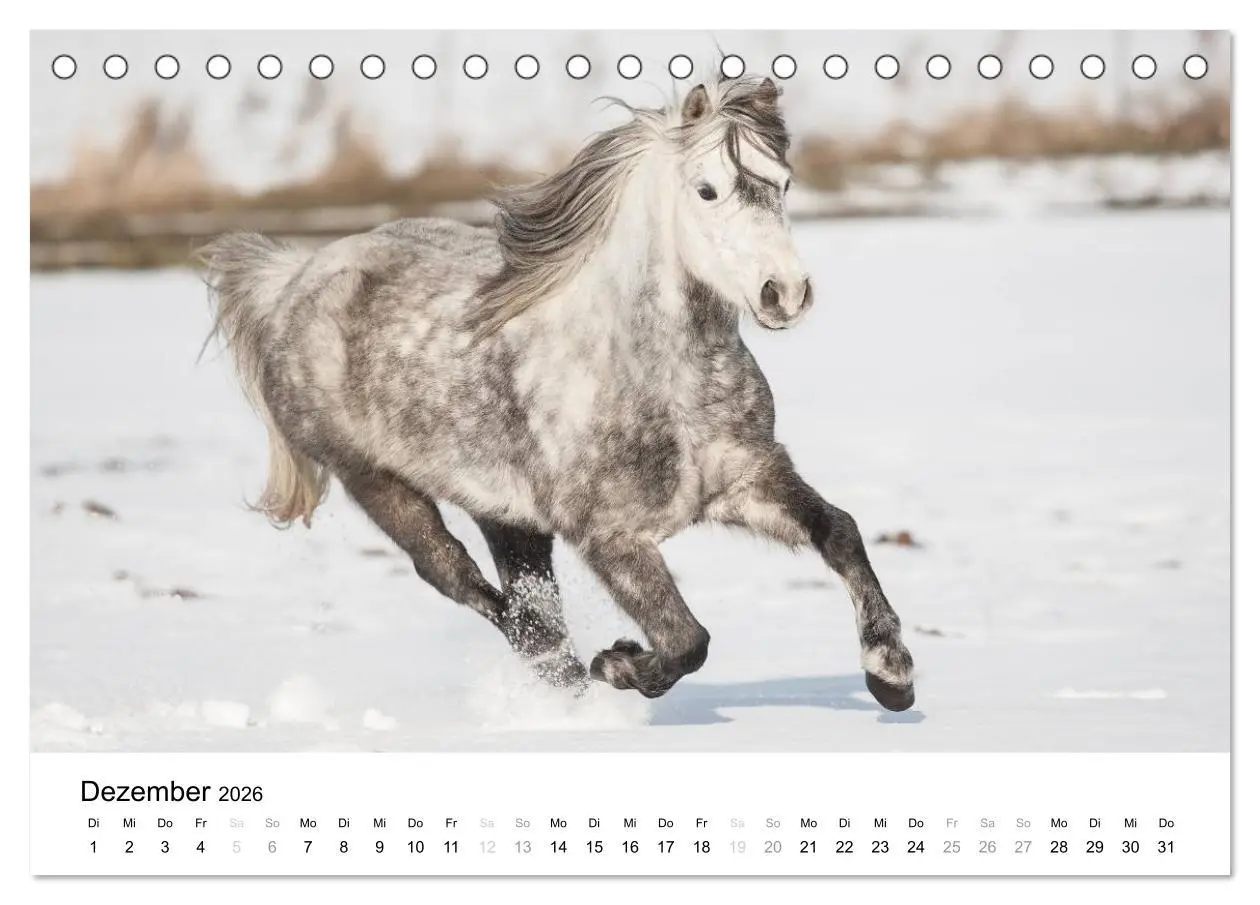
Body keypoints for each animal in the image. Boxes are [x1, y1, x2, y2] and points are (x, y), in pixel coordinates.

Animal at [198, 74, 916, 711]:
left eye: (784, 183)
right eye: (707, 190)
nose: (784, 293)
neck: (658, 381)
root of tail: (293, 276)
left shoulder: (746, 479)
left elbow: (840, 533)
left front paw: (891, 675)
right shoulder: (609, 536)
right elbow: (687, 639)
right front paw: (620, 665)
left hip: (506, 513)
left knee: (525, 599)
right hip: (376, 481)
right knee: (462, 580)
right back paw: (570, 677)